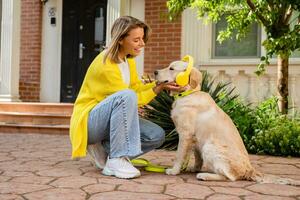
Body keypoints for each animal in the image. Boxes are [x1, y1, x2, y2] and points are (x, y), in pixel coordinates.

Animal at [155, 60, 300, 185]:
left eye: (171, 68)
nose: (155, 72)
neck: (188, 93)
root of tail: (249, 170)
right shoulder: (195, 139)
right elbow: (196, 157)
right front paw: (193, 168)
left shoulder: (185, 134)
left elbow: (179, 155)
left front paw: (174, 170)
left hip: (209, 146)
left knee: (230, 177)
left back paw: (205, 175)